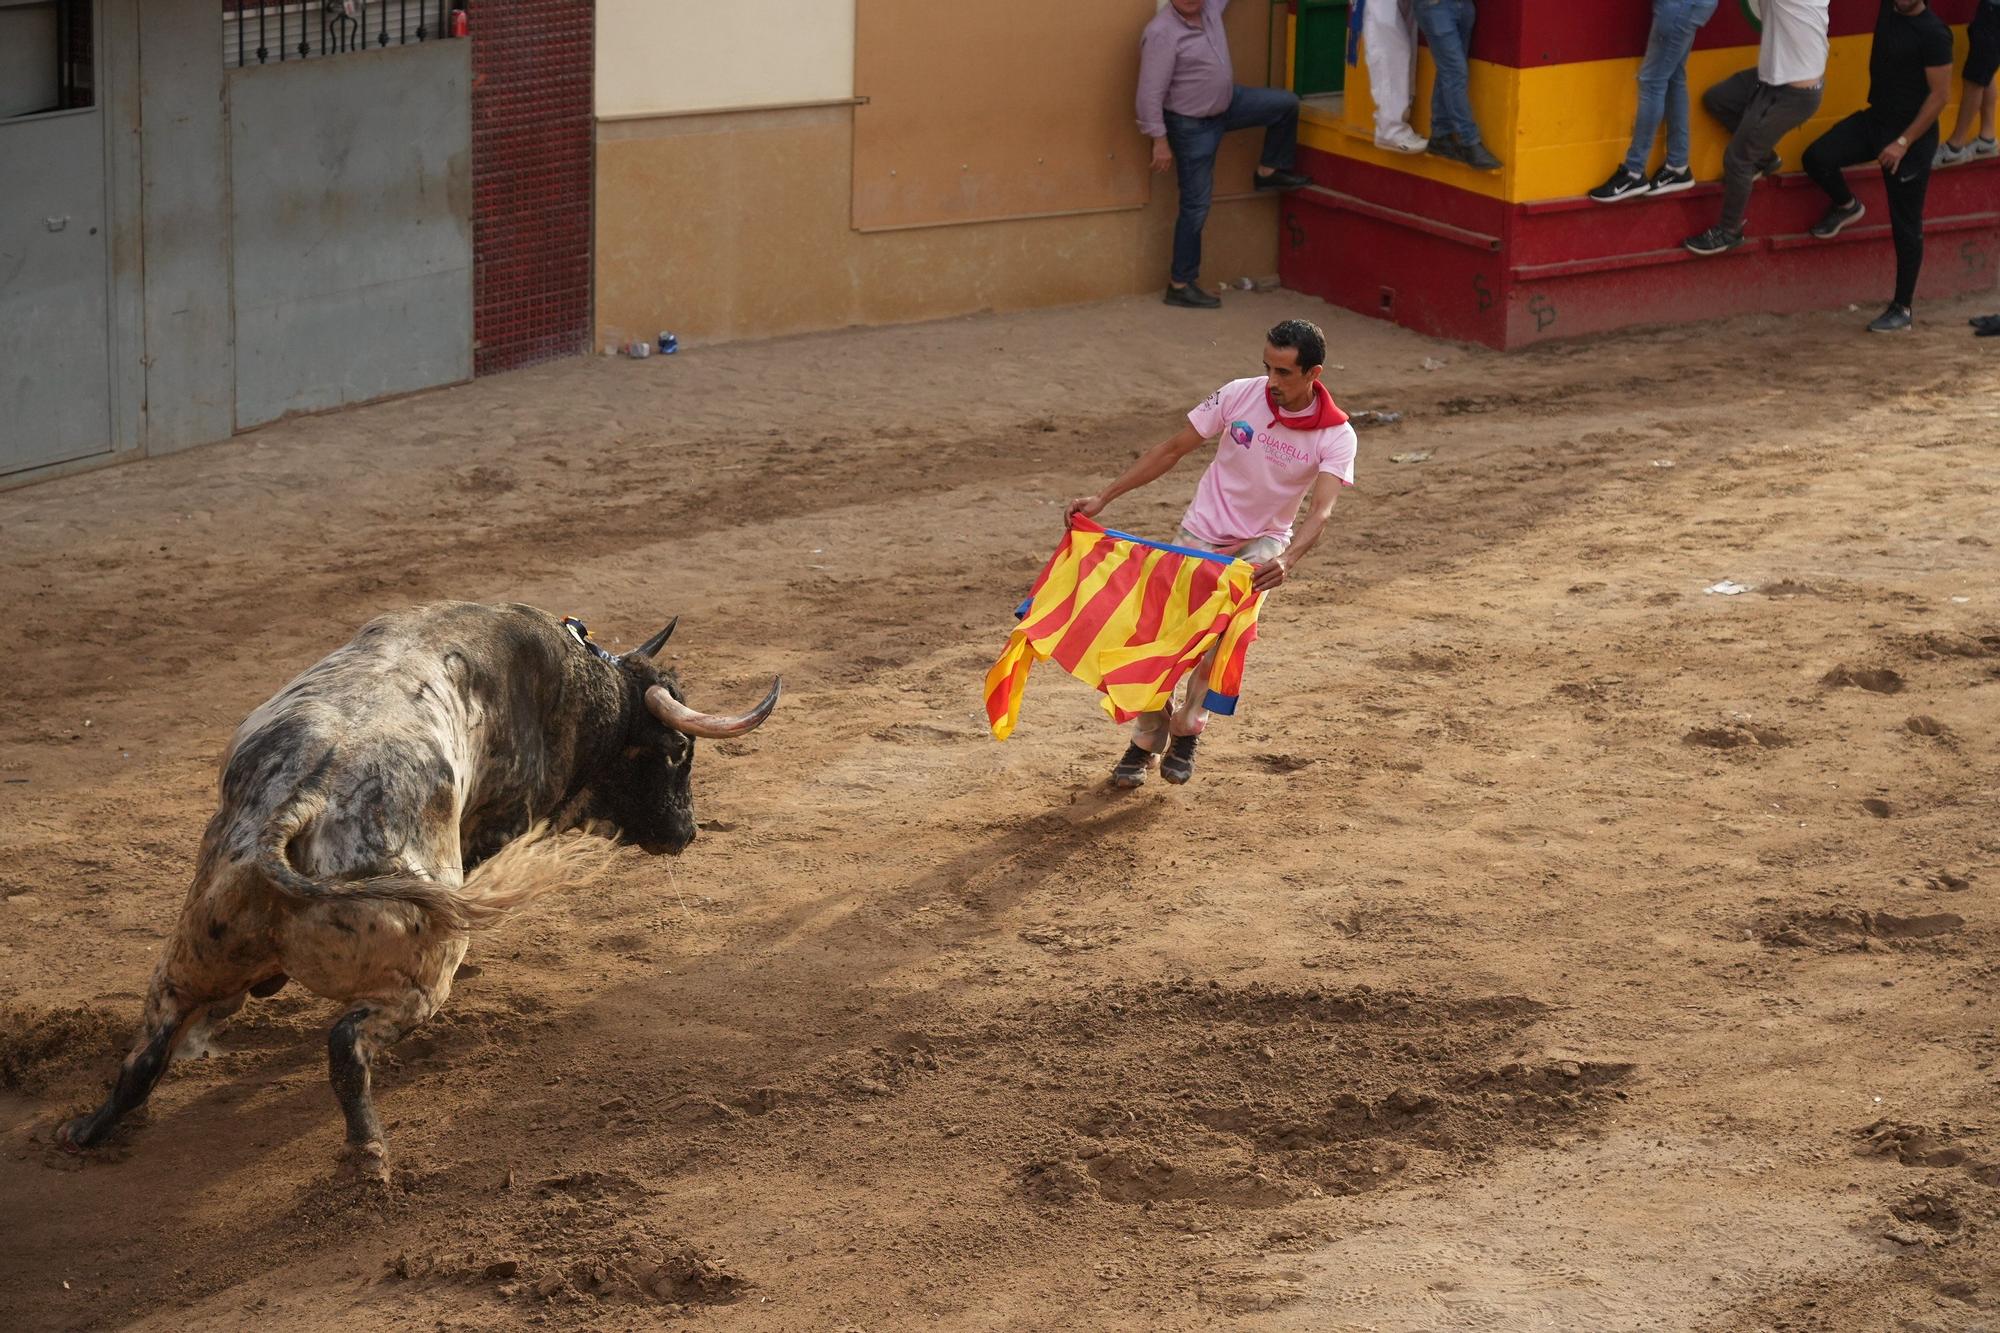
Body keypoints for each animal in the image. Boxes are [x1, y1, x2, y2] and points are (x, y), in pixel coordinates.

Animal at [54, 600, 772, 1176]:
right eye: (678, 752)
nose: (686, 832)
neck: (578, 682)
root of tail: (294, 807)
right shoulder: (501, 823)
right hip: (420, 976)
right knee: (347, 1044)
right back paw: (368, 1151)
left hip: (192, 950)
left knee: (148, 1052)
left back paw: (87, 1129)